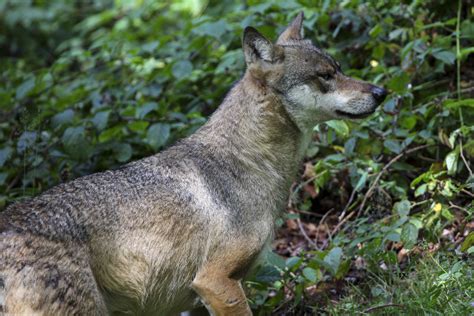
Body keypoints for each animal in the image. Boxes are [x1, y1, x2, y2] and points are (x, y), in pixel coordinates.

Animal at [0, 12, 386, 316]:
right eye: (325, 76)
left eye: (339, 69)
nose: (381, 92)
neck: (250, 160)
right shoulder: (215, 281)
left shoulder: (200, 298)